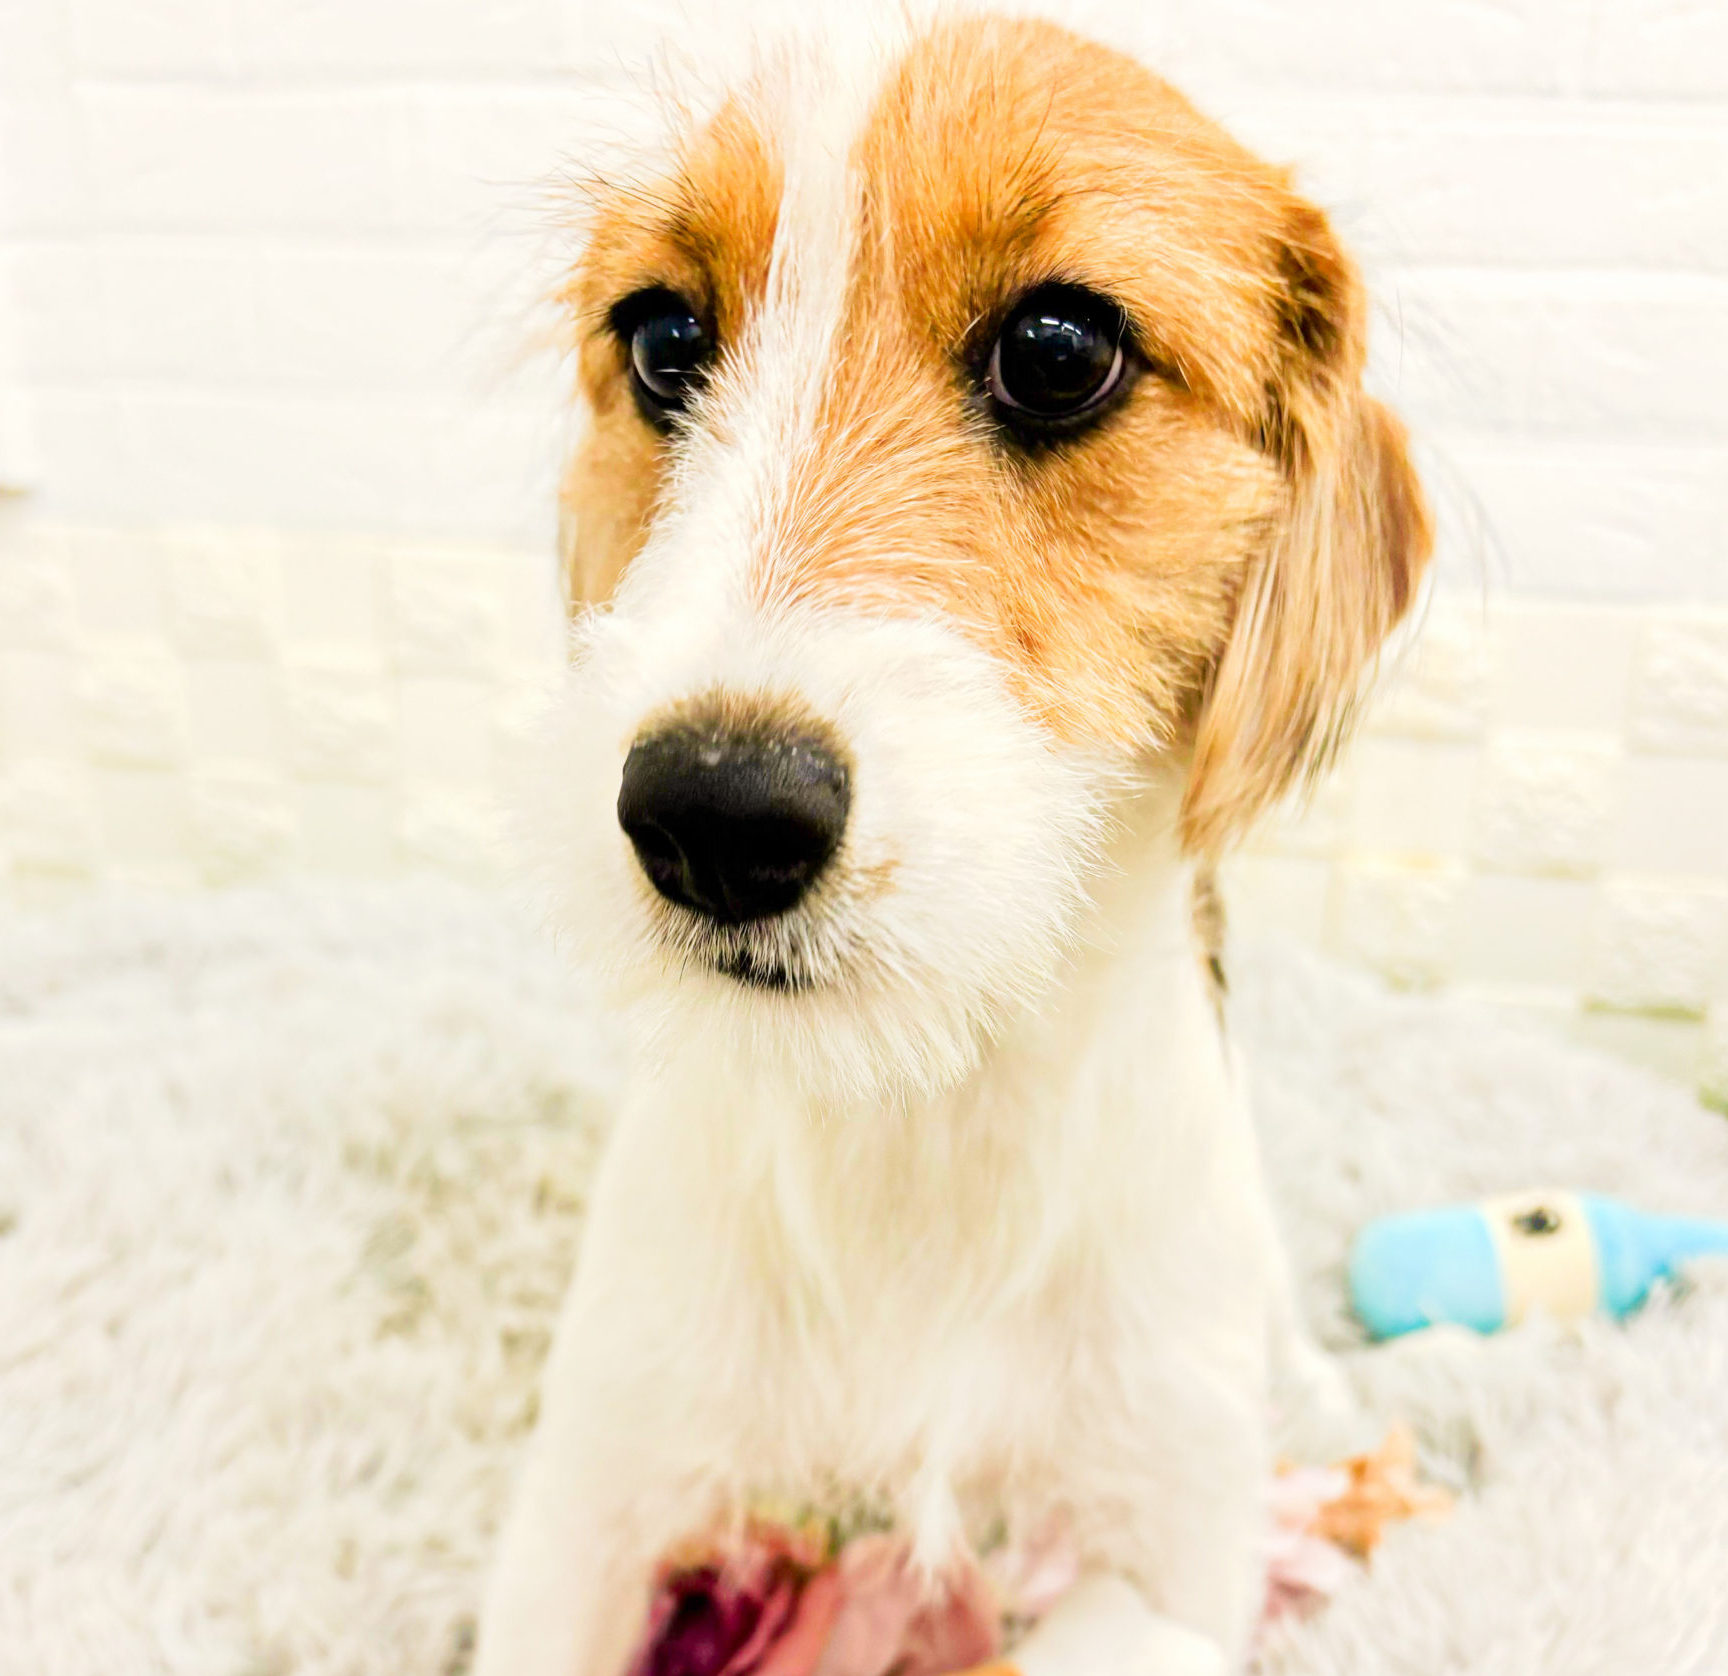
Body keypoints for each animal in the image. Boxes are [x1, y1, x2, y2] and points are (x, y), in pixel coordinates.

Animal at [479, 13, 1430, 1675]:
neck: (922, 1112)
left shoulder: (1168, 1570)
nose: (713, 813)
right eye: (663, 343)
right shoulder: (577, 1520)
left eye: (1059, 350)